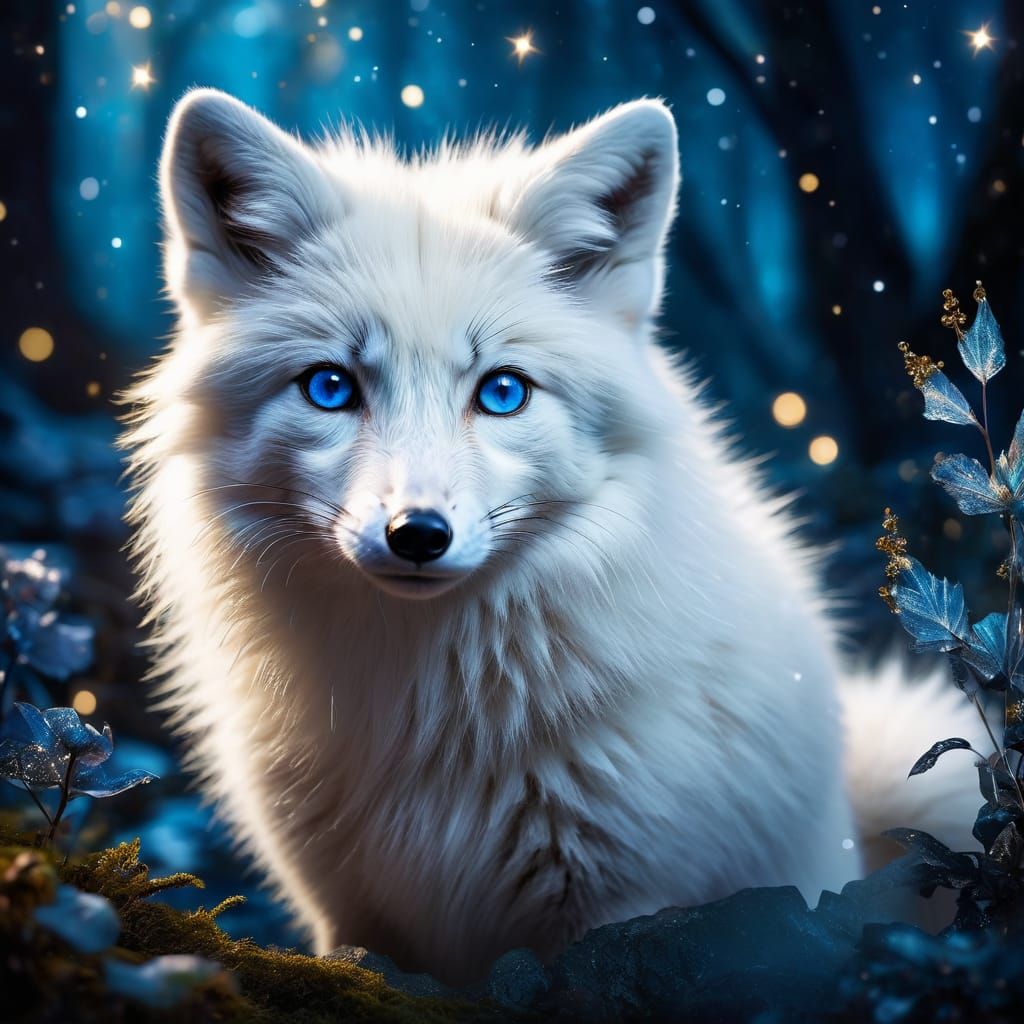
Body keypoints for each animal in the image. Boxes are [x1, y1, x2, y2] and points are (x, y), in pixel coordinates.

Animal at [124, 88, 984, 986]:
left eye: (502, 392)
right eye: (330, 387)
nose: (417, 535)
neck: (433, 716)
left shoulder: (619, 904)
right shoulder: (347, 915)